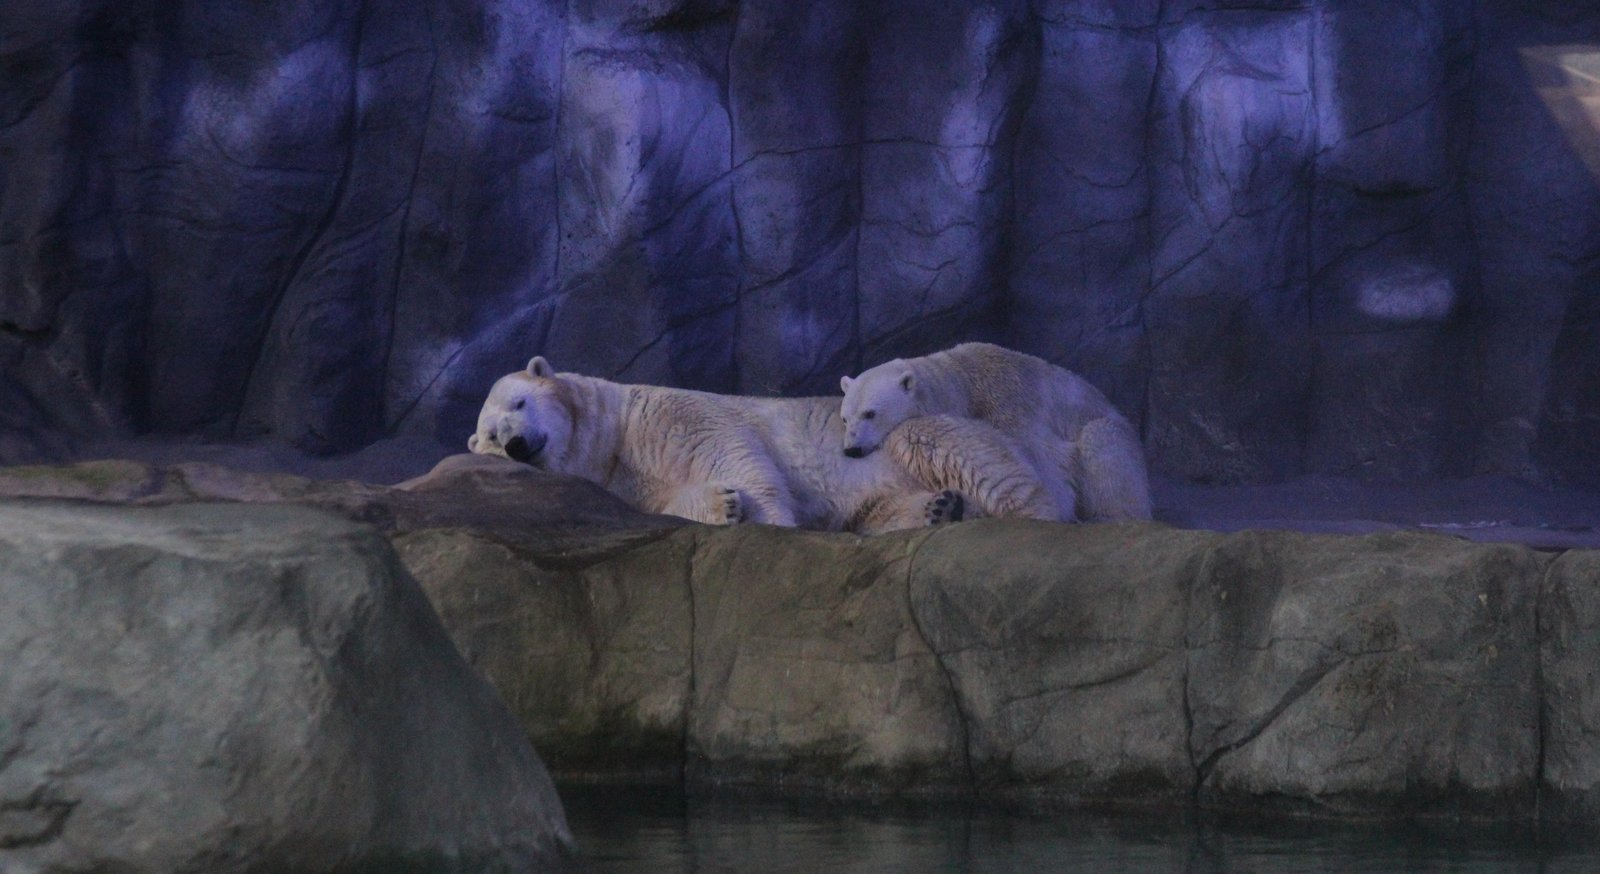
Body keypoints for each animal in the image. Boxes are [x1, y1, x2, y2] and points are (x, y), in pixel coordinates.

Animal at [467, 356, 1060, 534]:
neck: (616, 432)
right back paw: (939, 508)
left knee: (957, 452)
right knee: (879, 511)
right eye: (491, 437)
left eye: (519, 402)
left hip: (899, 440)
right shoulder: (623, 481)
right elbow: (665, 500)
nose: (517, 444)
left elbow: (733, 450)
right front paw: (722, 504)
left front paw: (769, 522)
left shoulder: (669, 413)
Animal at [839, 342, 1152, 522]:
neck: (964, 384)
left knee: (1103, 449)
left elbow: (1048, 473)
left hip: (1109, 431)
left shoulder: (1010, 410)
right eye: (845, 418)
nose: (851, 449)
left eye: (870, 413)